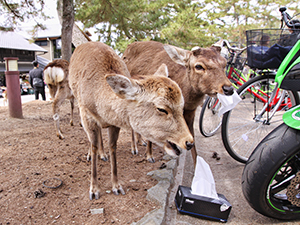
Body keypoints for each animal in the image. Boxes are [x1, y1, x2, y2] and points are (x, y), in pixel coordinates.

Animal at [68, 41, 195, 200]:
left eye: (181, 106)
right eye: (162, 109)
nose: (189, 142)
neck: (98, 101)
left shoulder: (114, 122)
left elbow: (113, 146)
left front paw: (117, 187)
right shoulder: (86, 114)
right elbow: (94, 145)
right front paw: (94, 190)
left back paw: (104, 155)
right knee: (92, 139)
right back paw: (92, 155)